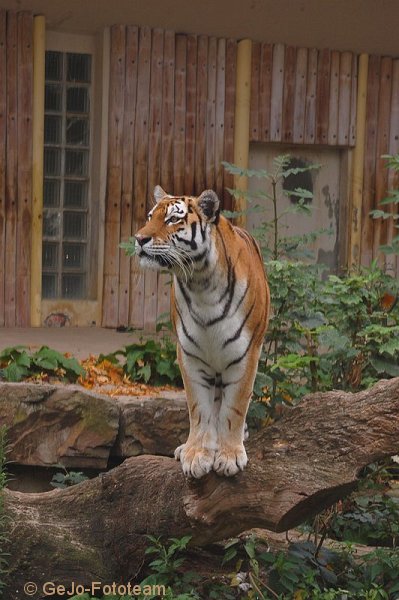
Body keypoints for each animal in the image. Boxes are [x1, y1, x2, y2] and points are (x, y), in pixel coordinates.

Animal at [135, 186, 272, 478]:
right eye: (151, 216)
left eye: (173, 219)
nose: (139, 239)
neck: (200, 282)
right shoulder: (190, 355)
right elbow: (199, 407)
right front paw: (197, 454)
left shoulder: (245, 355)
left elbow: (234, 408)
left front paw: (229, 457)